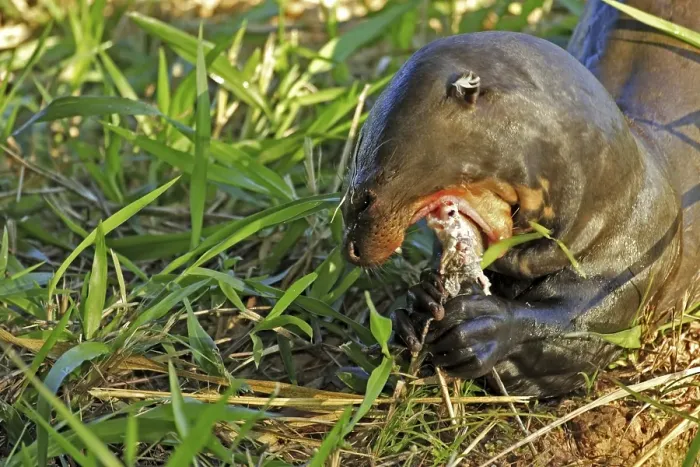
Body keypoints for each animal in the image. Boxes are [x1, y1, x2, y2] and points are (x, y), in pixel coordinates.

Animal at [341, 0, 699, 397]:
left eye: (364, 199)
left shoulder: (636, 261)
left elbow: (582, 332)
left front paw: (486, 328)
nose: (351, 249)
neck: (609, 200)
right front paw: (416, 307)